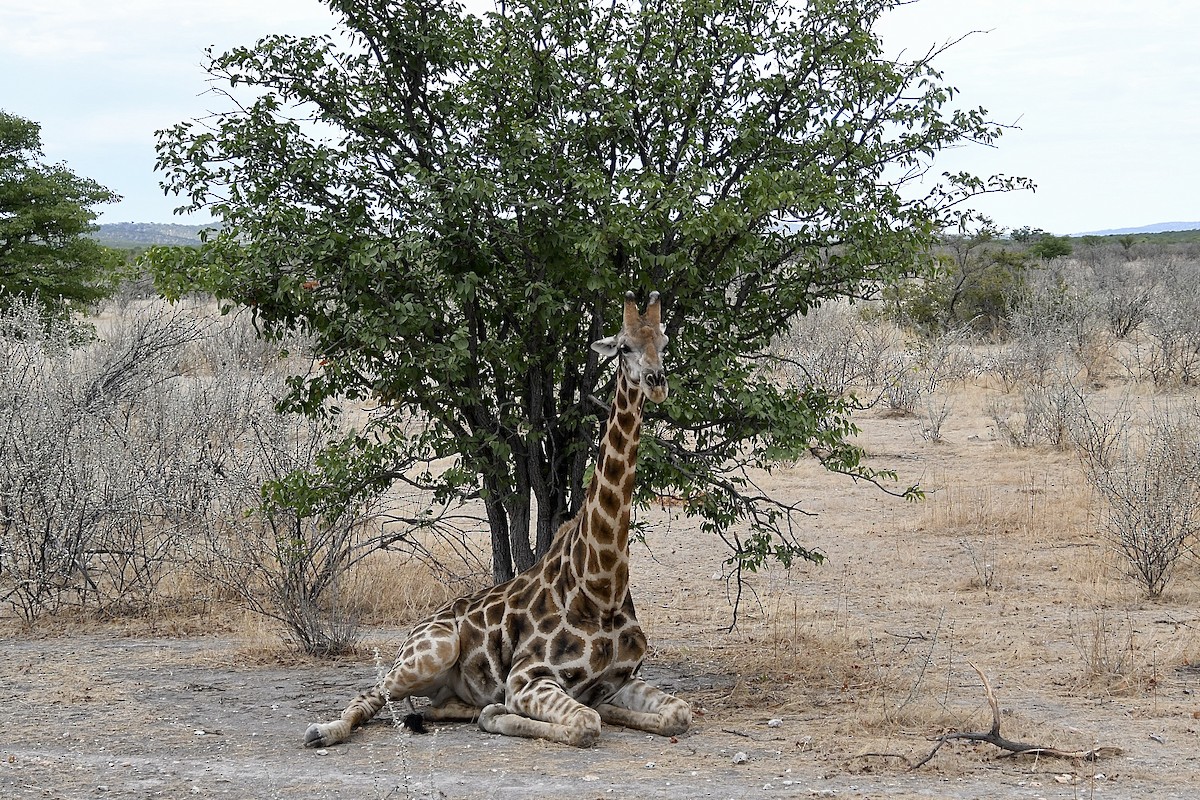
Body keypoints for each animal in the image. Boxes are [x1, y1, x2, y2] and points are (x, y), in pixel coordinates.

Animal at [304, 290, 691, 749]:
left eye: (664, 343)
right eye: (624, 347)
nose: (656, 382)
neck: (602, 588)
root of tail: (418, 627)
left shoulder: (622, 679)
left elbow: (677, 714)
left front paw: (616, 711)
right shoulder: (527, 678)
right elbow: (584, 724)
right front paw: (506, 715)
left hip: (442, 685)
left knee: (433, 707)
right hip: (431, 651)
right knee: (372, 692)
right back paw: (323, 730)